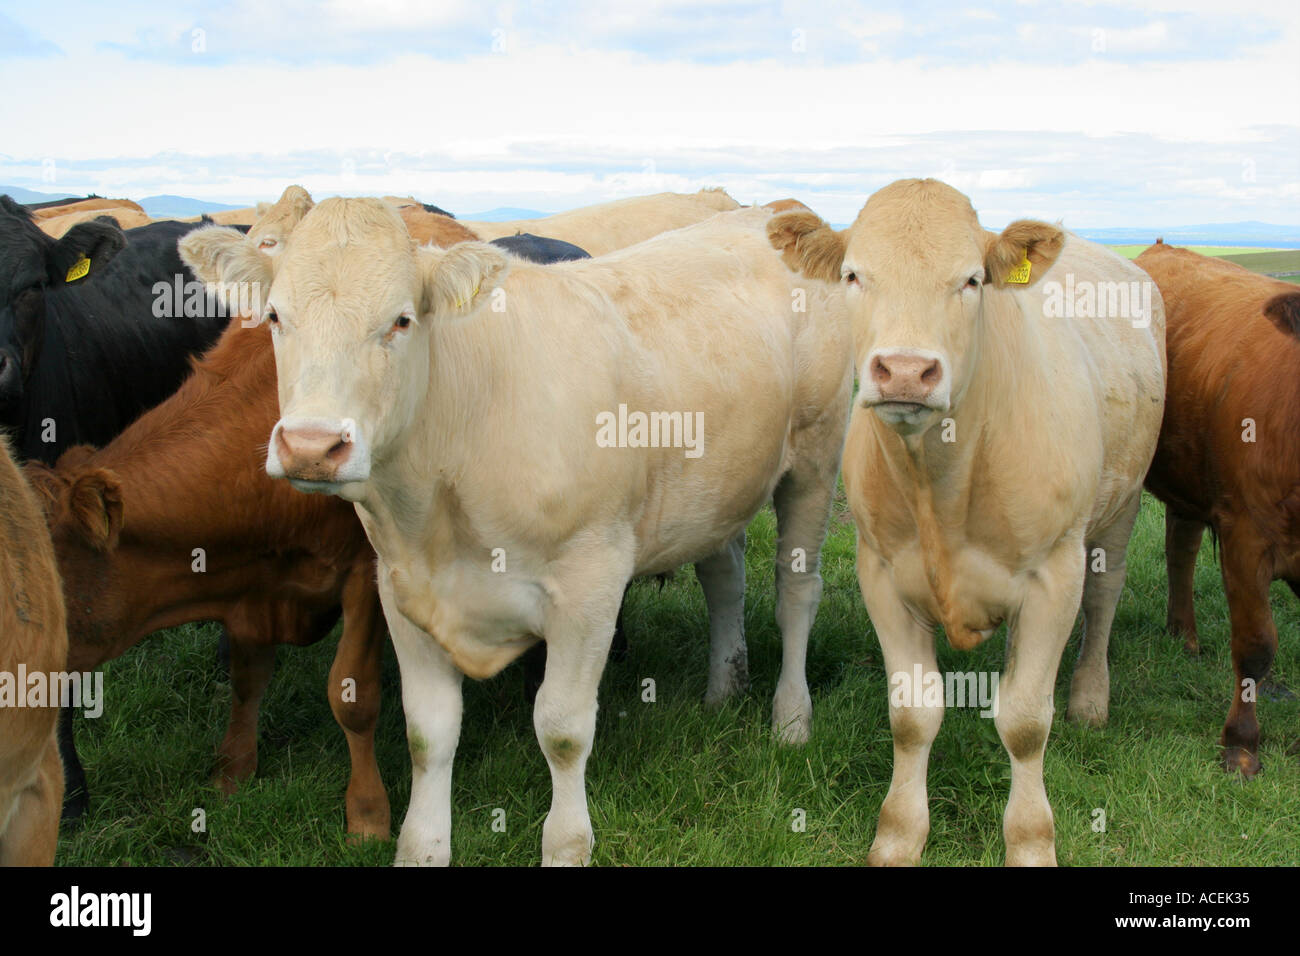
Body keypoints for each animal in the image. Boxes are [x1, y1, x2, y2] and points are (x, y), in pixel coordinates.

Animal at [180, 198, 853, 866]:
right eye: (274, 316)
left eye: (400, 320)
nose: (311, 446)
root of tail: (778, 214)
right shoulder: (399, 587)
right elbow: (428, 732)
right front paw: (421, 846)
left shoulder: (590, 583)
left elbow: (562, 729)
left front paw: (567, 845)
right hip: (716, 491)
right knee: (724, 579)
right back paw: (723, 690)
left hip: (815, 459)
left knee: (796, 592)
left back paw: (790, 719)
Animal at [768, 179, 1166, 866]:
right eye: (853, 275)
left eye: (973, 280)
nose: (904, 370)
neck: (941, 482)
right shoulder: (880, 573)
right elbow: (912, 715)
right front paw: (898, 835)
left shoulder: (1054, 575)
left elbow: (1027, 723)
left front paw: (1031, 842)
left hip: (1123, 504)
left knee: (1105, 597)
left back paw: (1090, 697)